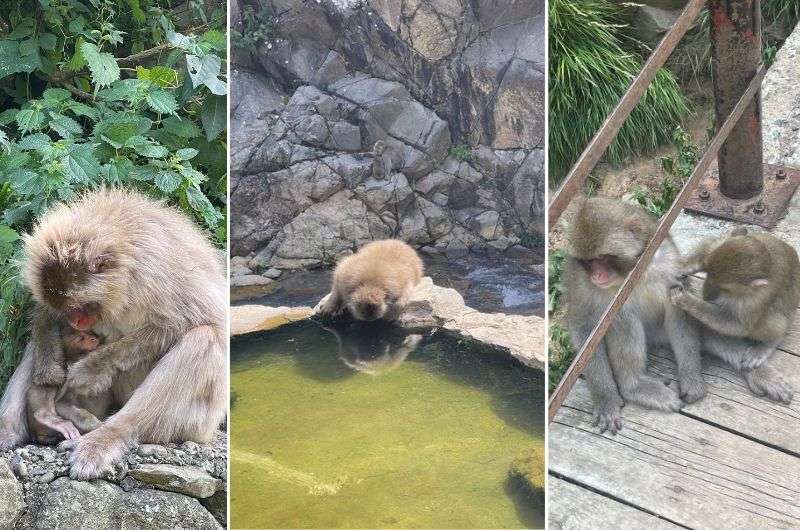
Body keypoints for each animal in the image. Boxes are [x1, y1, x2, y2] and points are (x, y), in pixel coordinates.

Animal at [0, 188, 228, 476]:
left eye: (81, 306)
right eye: (66, 308)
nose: (77, 322)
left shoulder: (158, 273)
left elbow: (192, 321)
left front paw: (92, 370)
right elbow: (46, 317)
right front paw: (48, 369)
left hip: (197, 423)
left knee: (204, 338)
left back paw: (107, 435)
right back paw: (25, 422)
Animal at [564, 196, 708, 432]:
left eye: (602, 257)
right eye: (588, 261)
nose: (596, 275)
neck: (628, 274)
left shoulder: (667, 258)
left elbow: (677, 304)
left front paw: (691, 377)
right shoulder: (579, 279)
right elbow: (583, 328)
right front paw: (606, 400)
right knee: (622, 316)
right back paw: (633, 386)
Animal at [668, 225, 800, 402]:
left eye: (724, 287)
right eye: (707, 272)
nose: (711, 291)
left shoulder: (754, 300)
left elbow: (737, 325)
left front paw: (686, 300)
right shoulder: (721, 244)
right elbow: (708, 248)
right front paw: (684, 267)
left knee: (771, 317)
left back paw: (768, 344)